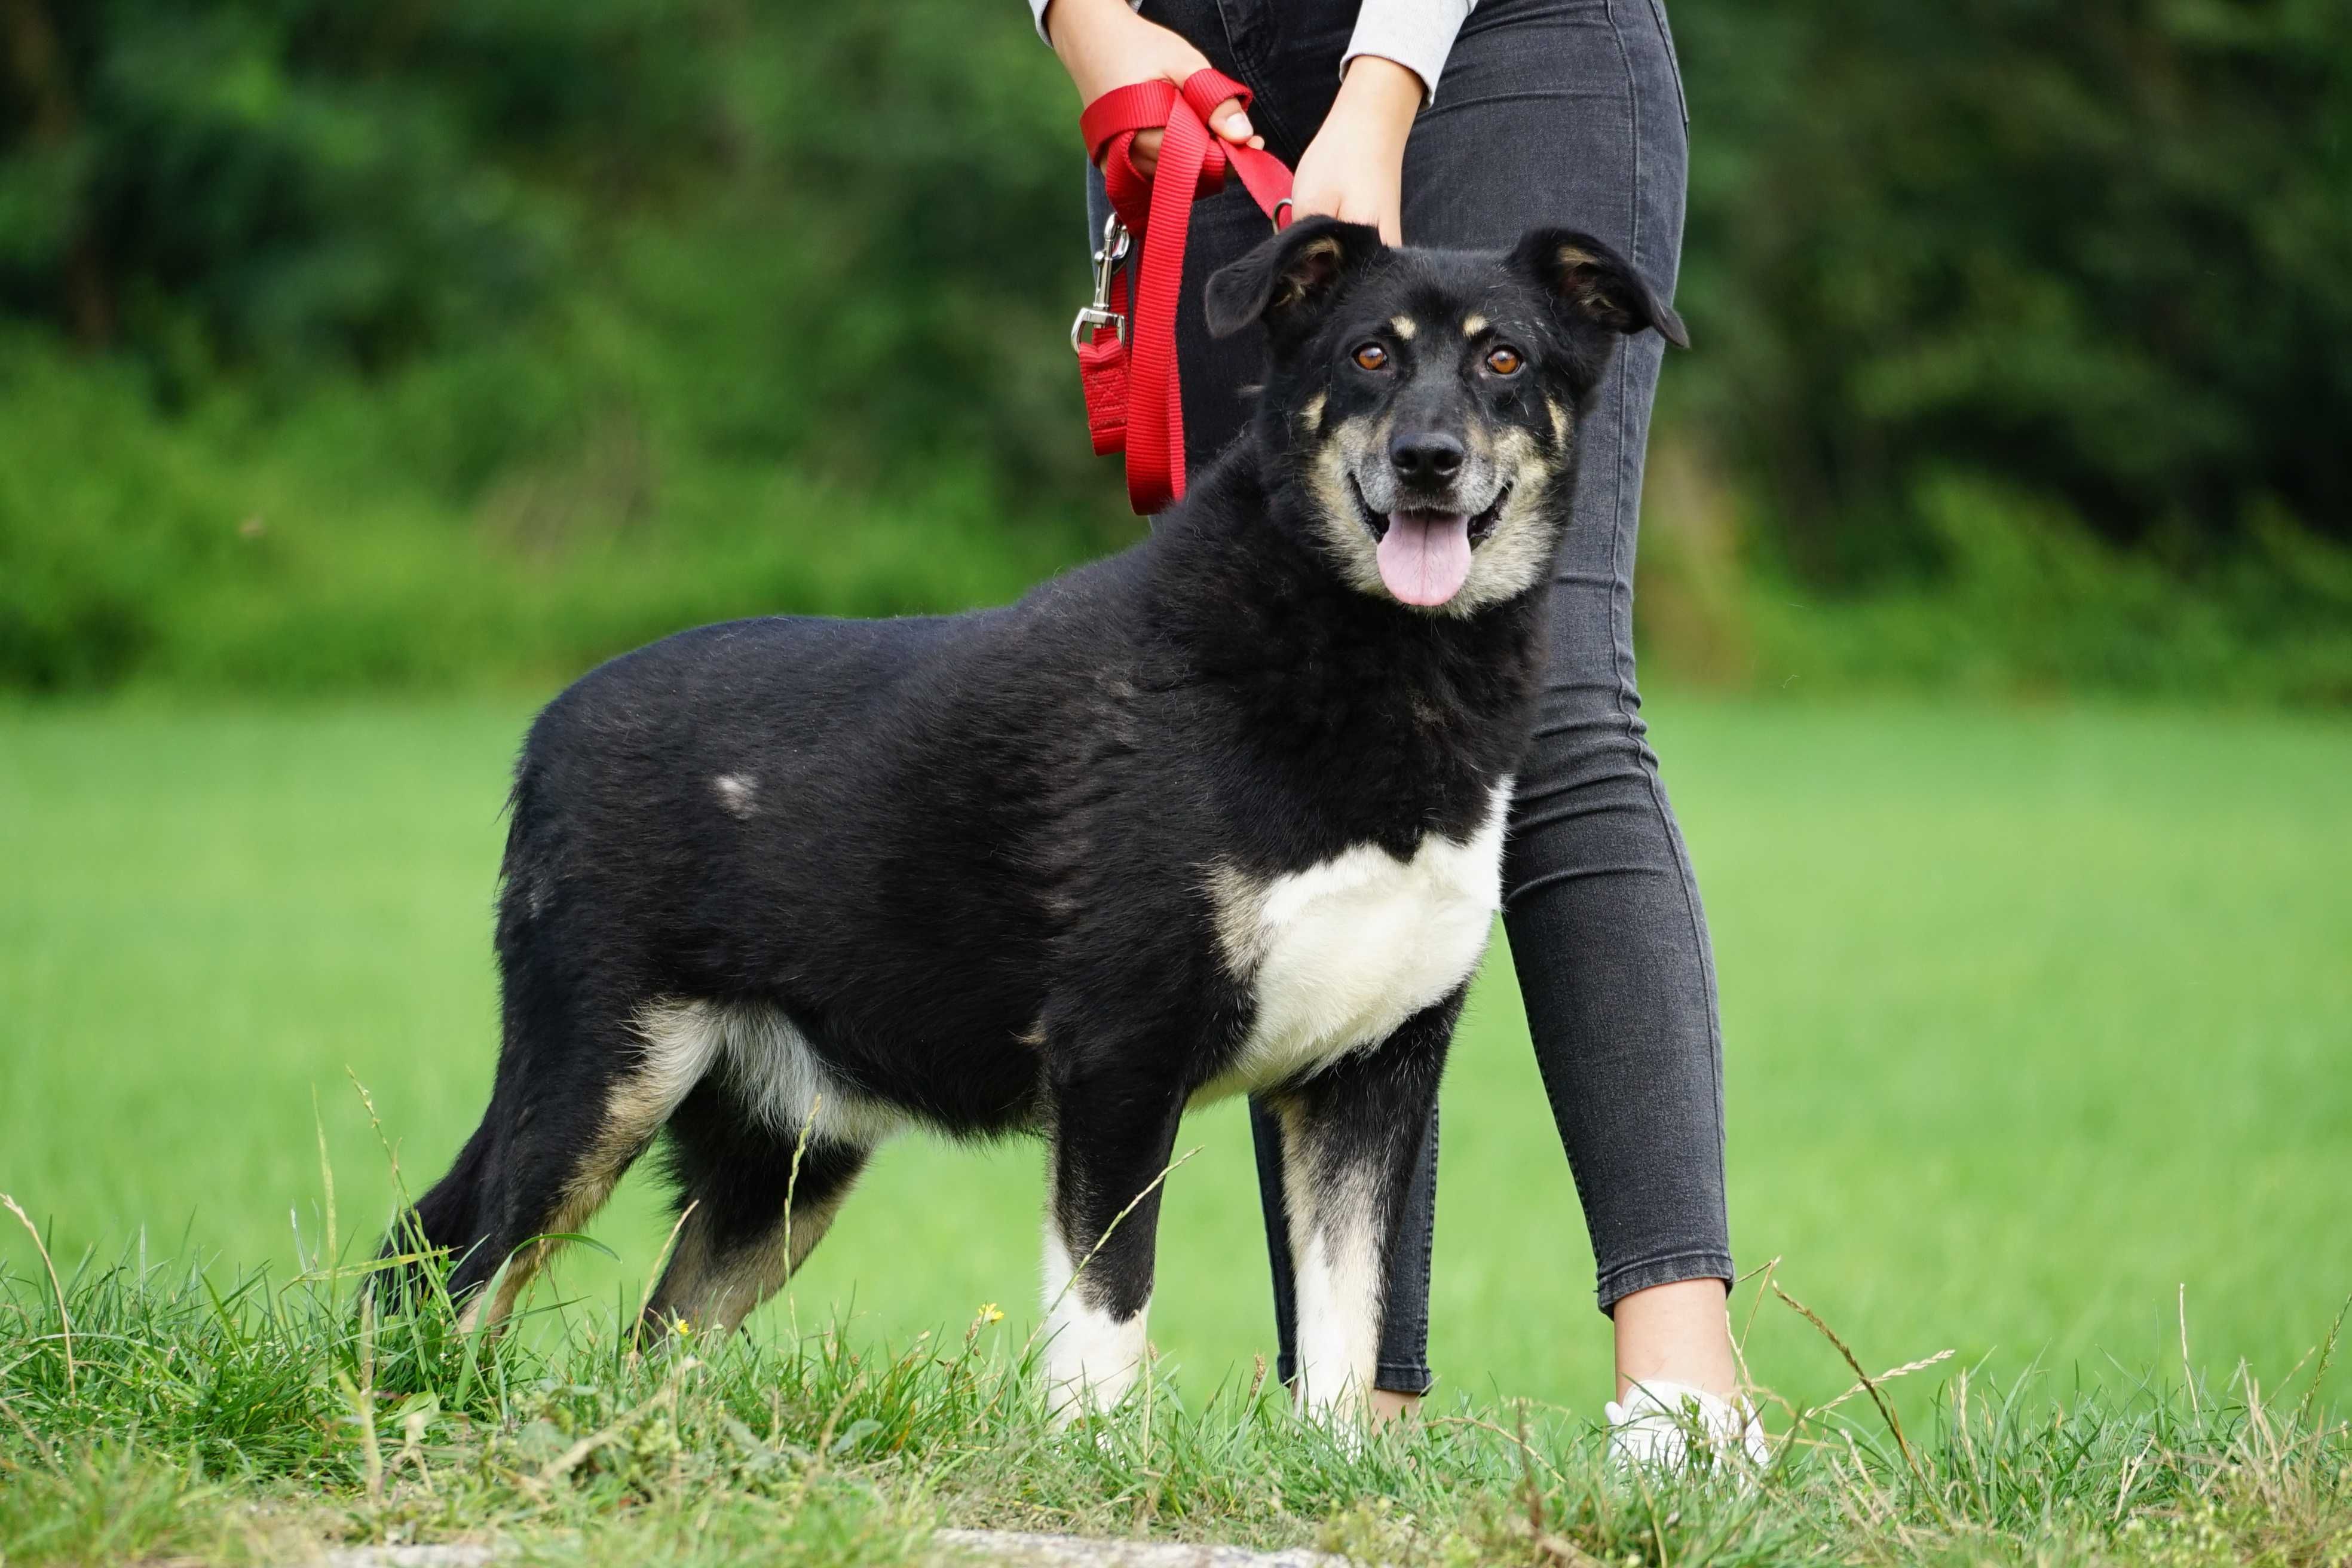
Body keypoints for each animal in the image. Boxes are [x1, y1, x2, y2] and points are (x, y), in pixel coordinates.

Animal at [395, 217, 1684, 1420]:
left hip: (784, 1160)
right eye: (1370, 353)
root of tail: (548, 730)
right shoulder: (1119, 1055)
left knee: (645, 1335)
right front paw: (1101, 1458)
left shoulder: (1369, 1076)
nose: (1428, 459)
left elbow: (1343, 1330)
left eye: (1505, 359)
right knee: (451, 1273)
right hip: (597, 1085)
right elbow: (1108, 1312)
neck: (1368, 658)